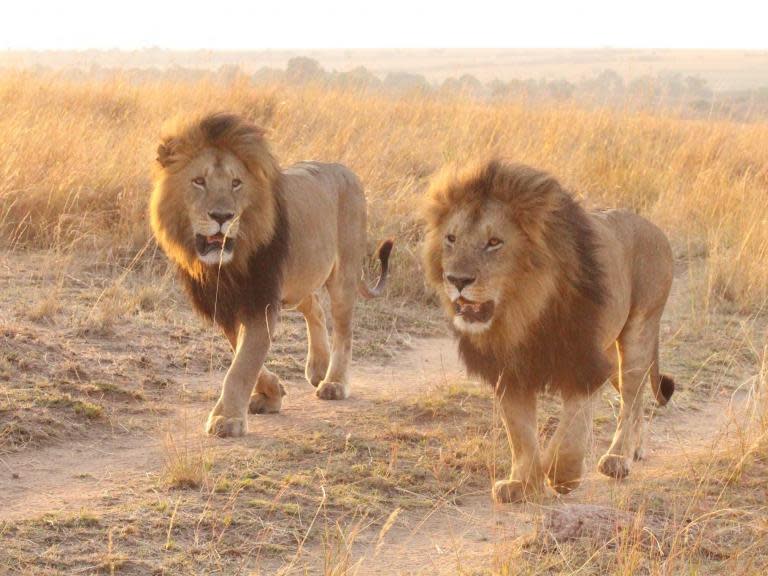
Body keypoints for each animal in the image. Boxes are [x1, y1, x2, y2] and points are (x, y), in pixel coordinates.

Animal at [149, 111, 392, 436]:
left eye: (236, 183)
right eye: (199, 181)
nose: (223, 217)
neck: (226, 265)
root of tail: (347, 171)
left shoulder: (260, 299)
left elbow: (242, 365)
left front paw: (227, 419)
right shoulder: (226, 303)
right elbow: (241, 353)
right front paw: (271, 393)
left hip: (343, 273)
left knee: (344, 329)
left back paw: (334, 382)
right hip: (297, 280)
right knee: (314, 307)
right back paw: (318, 367)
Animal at [424, 159, 676, 500]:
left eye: (494, 242)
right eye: (451, 238)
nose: (456, 280)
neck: (523, 310)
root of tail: (655, 228)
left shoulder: (583, 362)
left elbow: (571, 425)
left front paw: (561, 473)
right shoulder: (508, 371)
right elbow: (520, 433)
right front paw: (522, 484)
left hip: (639, 331)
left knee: (632, 398)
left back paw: (618, 458)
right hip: (611, 352)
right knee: (632, 399)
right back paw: (635, 450)